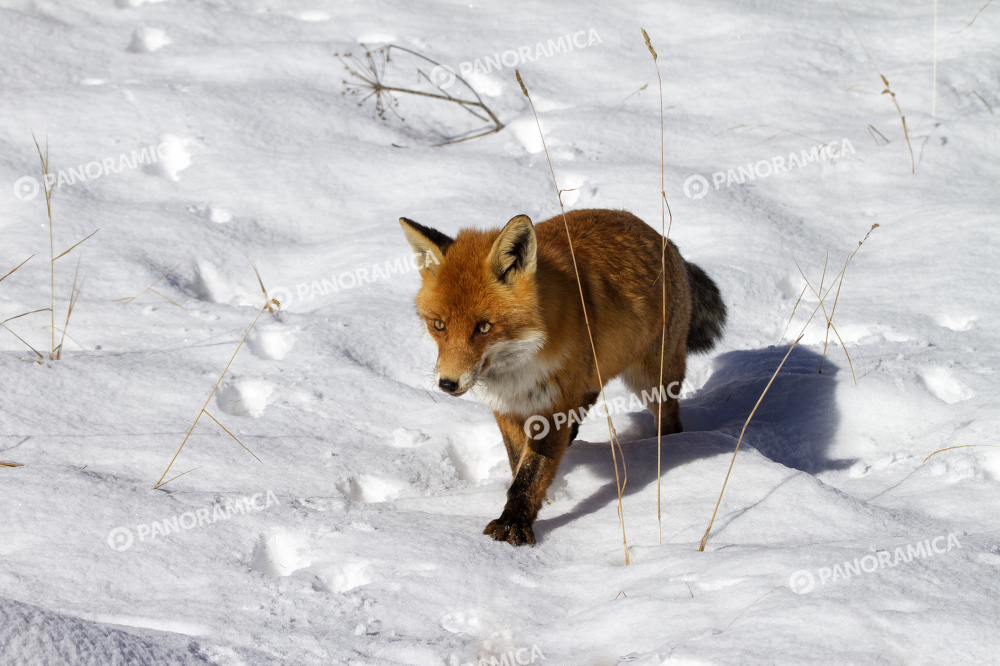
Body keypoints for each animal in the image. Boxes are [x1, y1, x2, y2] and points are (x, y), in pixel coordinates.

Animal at [399, 208, 726, 546]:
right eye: (438, 325)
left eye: (484, 327)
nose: (447, 383)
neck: (521, 366)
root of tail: (662, 237)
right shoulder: (508, 408)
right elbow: (518, 463)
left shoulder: (553, 406)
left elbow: (530, 474)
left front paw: (513, 525)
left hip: (652, 379)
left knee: (669, 419)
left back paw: (671, 448)